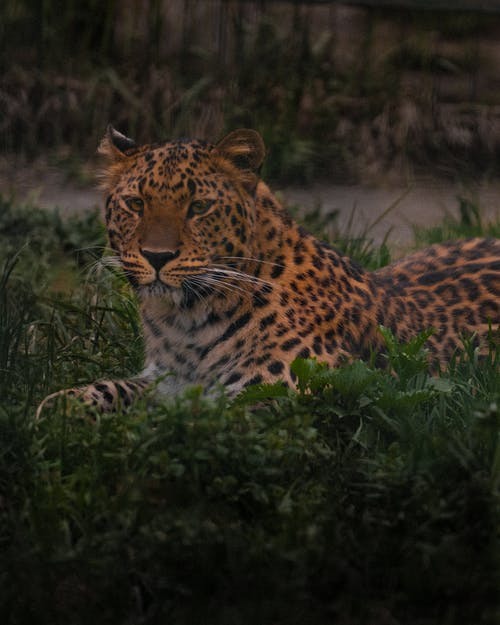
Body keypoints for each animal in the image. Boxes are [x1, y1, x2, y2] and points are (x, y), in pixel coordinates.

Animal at [36, 126, 500, 414]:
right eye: (135, 203)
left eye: (198, 206)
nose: (156, 256)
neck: (184, 321)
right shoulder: (165, 378)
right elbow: (111, 387)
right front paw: (59, 407)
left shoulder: (274, 391)